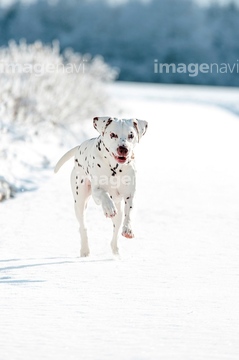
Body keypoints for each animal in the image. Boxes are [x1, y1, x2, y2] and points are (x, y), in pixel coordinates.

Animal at [54, 117, 148, 256]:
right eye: (113, 134)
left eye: (131, 135)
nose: (123, 148)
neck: (115, 168)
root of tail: (80, 146)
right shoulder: (96, 192)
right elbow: (103, 194)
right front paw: (108, 208)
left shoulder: (130, 195)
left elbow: (129, 212)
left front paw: (128, 229)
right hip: (80, 202)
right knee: (82, 226)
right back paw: (85, 250)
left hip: (118, 212)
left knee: (116, 228)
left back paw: (116, 250)